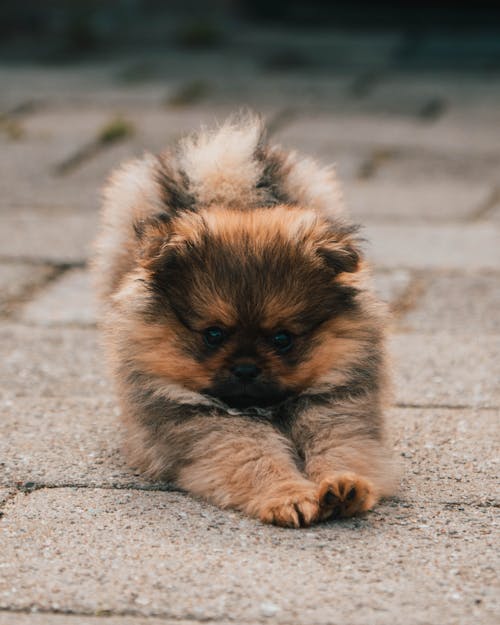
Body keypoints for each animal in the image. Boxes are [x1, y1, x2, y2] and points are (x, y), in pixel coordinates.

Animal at [94, 114, 396, 524]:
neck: (270, 409)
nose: (246, 369)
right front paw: (290, 498)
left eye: (282, 338)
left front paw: (344, 487)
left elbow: (342, 451)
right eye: (213, 334)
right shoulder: (212, 427)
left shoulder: (336, 412)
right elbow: (256, 460)